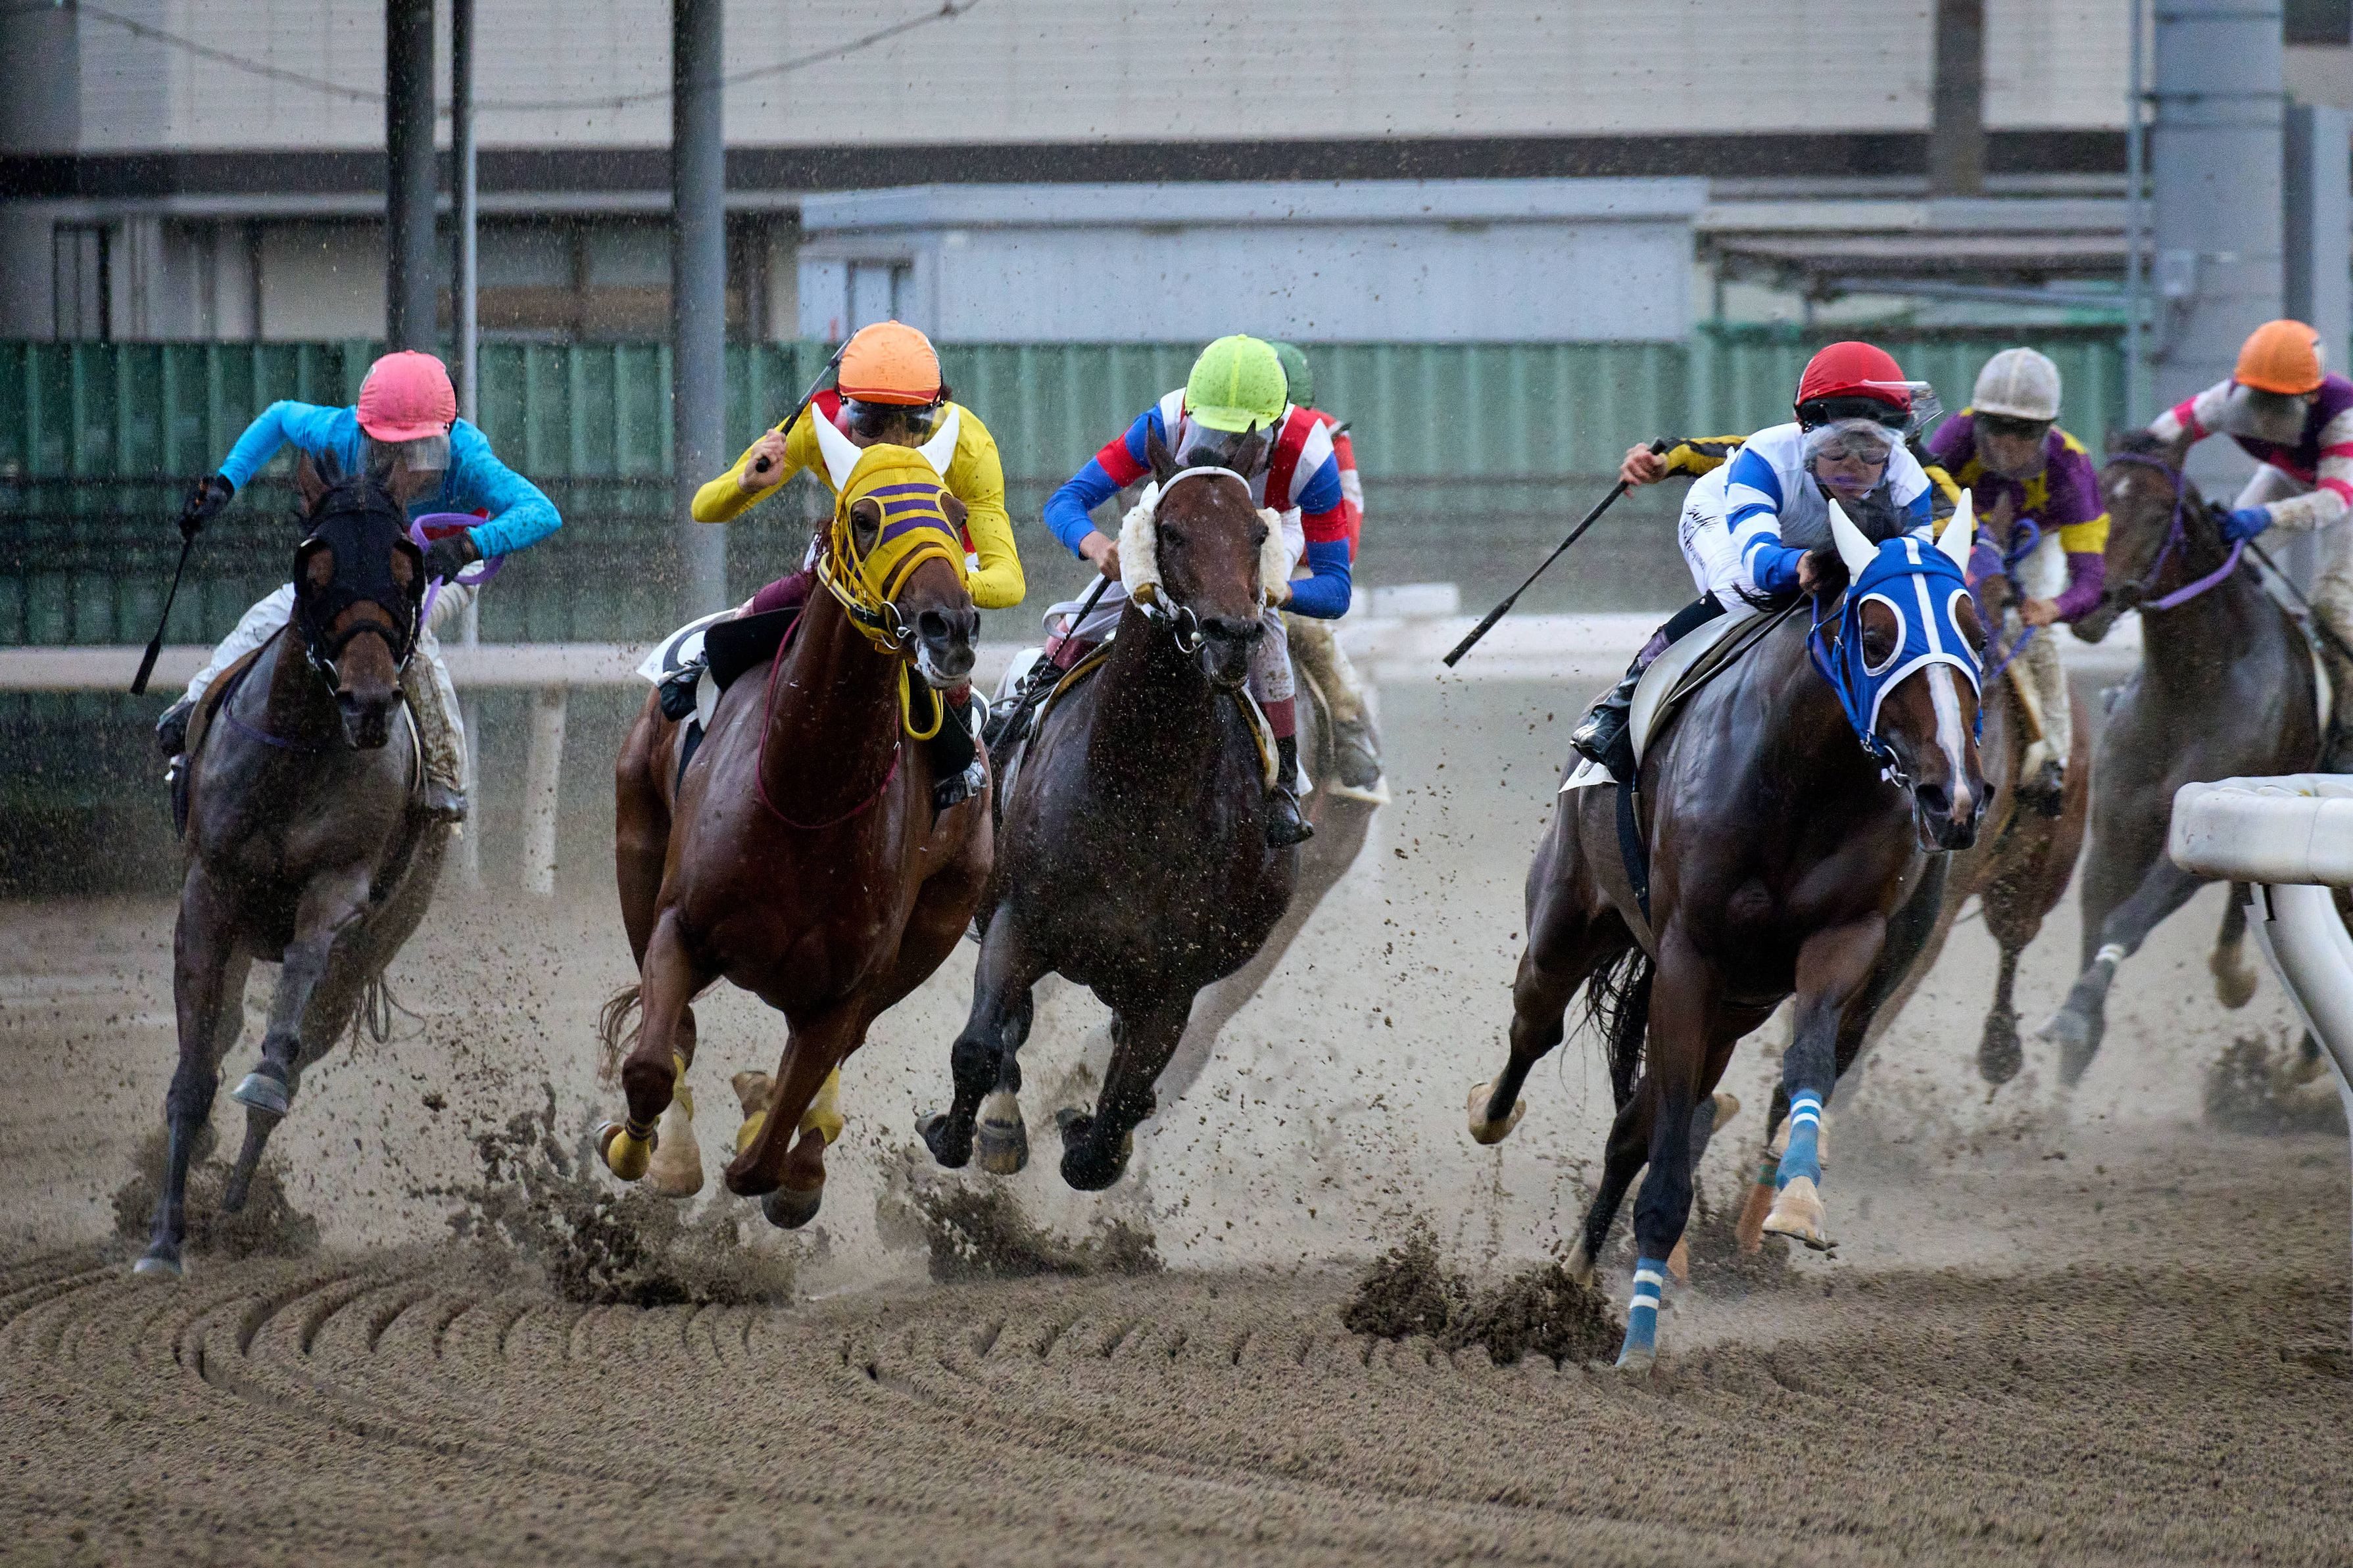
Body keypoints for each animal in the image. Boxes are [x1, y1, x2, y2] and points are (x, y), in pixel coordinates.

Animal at [136, 459, 447, 1277]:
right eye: (316, 565)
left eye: (407, 566)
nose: (368, 702)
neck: (299, 751)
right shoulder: (208, 893)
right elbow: (193, 1071)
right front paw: (163, 1240)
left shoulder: (340, 886)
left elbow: (303, 975)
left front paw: (265, 1082)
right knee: (221, 1032)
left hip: (377, 943)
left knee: (299, 1048)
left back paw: (240, 1201)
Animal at [600, 420, 991, 1229]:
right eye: (863, 517)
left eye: (954, 510)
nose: (950, 627)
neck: (808, 795)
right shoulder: (680, 924)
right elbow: (652, 1063)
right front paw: (639, 1153)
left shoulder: (843, 988)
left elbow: (762, 1156)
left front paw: (779, 1151)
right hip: (636, 843)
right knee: (675, 1032)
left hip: (937, 924)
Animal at [917, 425, 1299, 1191]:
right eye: (1170, 529)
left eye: (1256, 533)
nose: (1231, 635)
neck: (1137, 792)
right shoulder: (1018, 921)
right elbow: (980, 1045)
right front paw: (962, 1133)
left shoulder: (1172, 982)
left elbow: (1116, 1113)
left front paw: (1088, 1137)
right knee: (1011, 1033)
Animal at [1466, 497, 1987, 1371]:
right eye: (1874, 634)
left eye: (1975, 632)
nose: (1951, 796)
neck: (1802, 776)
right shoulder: (1688, 957)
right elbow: (1667, 1163)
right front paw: (1638, 1344)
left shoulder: (1841, 938)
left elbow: (1806, 1060)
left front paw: (1799, 1201)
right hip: (1567, 922)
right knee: (1533, 1027)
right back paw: (1490, 1115)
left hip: (1733, 1008)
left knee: (1629, 1132)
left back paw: (1573, 1276)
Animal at [2038, 437, 2326, 1086]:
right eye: (2097, 501)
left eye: (2154, 513)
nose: (2091, 603)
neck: (2192, 686)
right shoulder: (2117, 834)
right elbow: (2098, 919)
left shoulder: (2197, 832)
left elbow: (2126, 922)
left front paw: (2075, 1011)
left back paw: (2303, 1053)